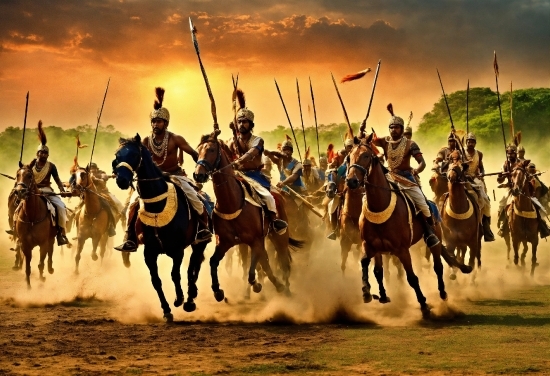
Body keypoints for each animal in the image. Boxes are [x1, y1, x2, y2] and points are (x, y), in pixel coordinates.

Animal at [112, 134, 209, 322]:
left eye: (134, 155)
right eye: (117, 156)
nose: (121, 180)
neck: (157, 204)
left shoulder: (177, 250)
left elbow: (175, 274)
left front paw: (179, 299)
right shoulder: (149, 252)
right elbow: (156, 281)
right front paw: (166, 310)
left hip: (200, 242)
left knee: (194, 267)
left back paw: (190, 299)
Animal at [195, 132, 302, 300]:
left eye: (211, 149)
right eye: (198, 150)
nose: (198, 175)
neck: (232, 203)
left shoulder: (255, 241)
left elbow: (253, 272)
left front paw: (257, 285)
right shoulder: (225, 243)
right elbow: (213, 262)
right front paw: (218, 291)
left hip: (279, 236)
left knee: (283, 261)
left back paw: (286, 289)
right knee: (265, 264)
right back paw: (278, 286)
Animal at [348, 137, 472, 316]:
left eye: (365, 156)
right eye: (349, 157)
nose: (351, 181)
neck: (379, 205)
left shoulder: (402, 250)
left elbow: (412, 277)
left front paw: (424, 305)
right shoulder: (370, 246)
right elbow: (368, 265)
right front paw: (368, 292)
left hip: (435, 238)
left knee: (438, 266)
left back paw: (443, 293)